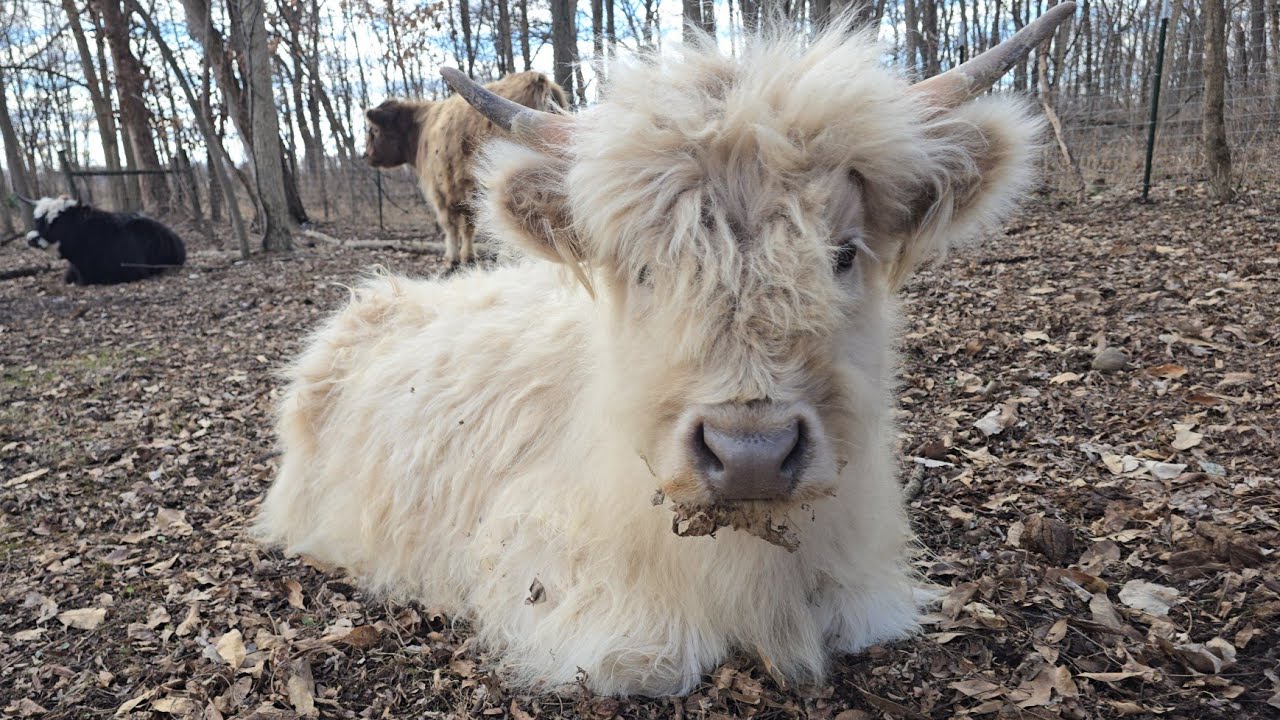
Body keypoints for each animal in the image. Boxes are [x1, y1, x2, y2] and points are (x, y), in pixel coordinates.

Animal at [364, 71, 567, 268]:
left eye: (374, 131)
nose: (366, 155)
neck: (420, 130)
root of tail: (536, 80)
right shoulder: (465, 194)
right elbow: (468, 227)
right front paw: (468, 257)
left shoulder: (441, 194)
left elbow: (450, 227)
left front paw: (452, 259)